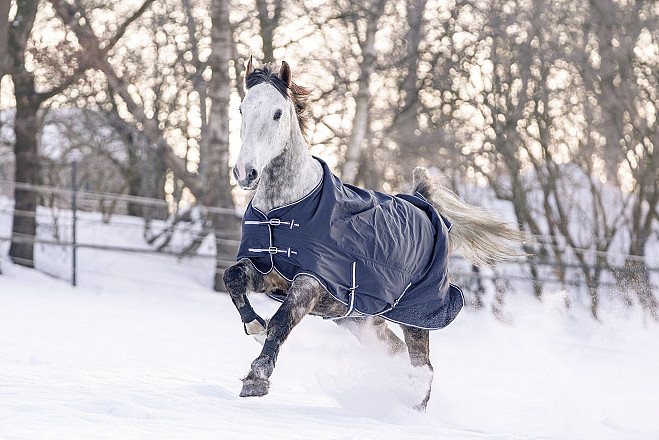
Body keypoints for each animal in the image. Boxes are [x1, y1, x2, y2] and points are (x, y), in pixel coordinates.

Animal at [223, 56, 524, 410]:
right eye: (242, 109)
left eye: (277, 113)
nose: (245, 172)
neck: (283, 212)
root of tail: (424, 203)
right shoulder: (270, 272)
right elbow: (232, 278)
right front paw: (256, 326)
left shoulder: (313, 280)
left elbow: (282, 320)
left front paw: (256, 378)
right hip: (362, 321)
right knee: (398, 355)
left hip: (415, 318)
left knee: (423, 368)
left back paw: (410, 409)